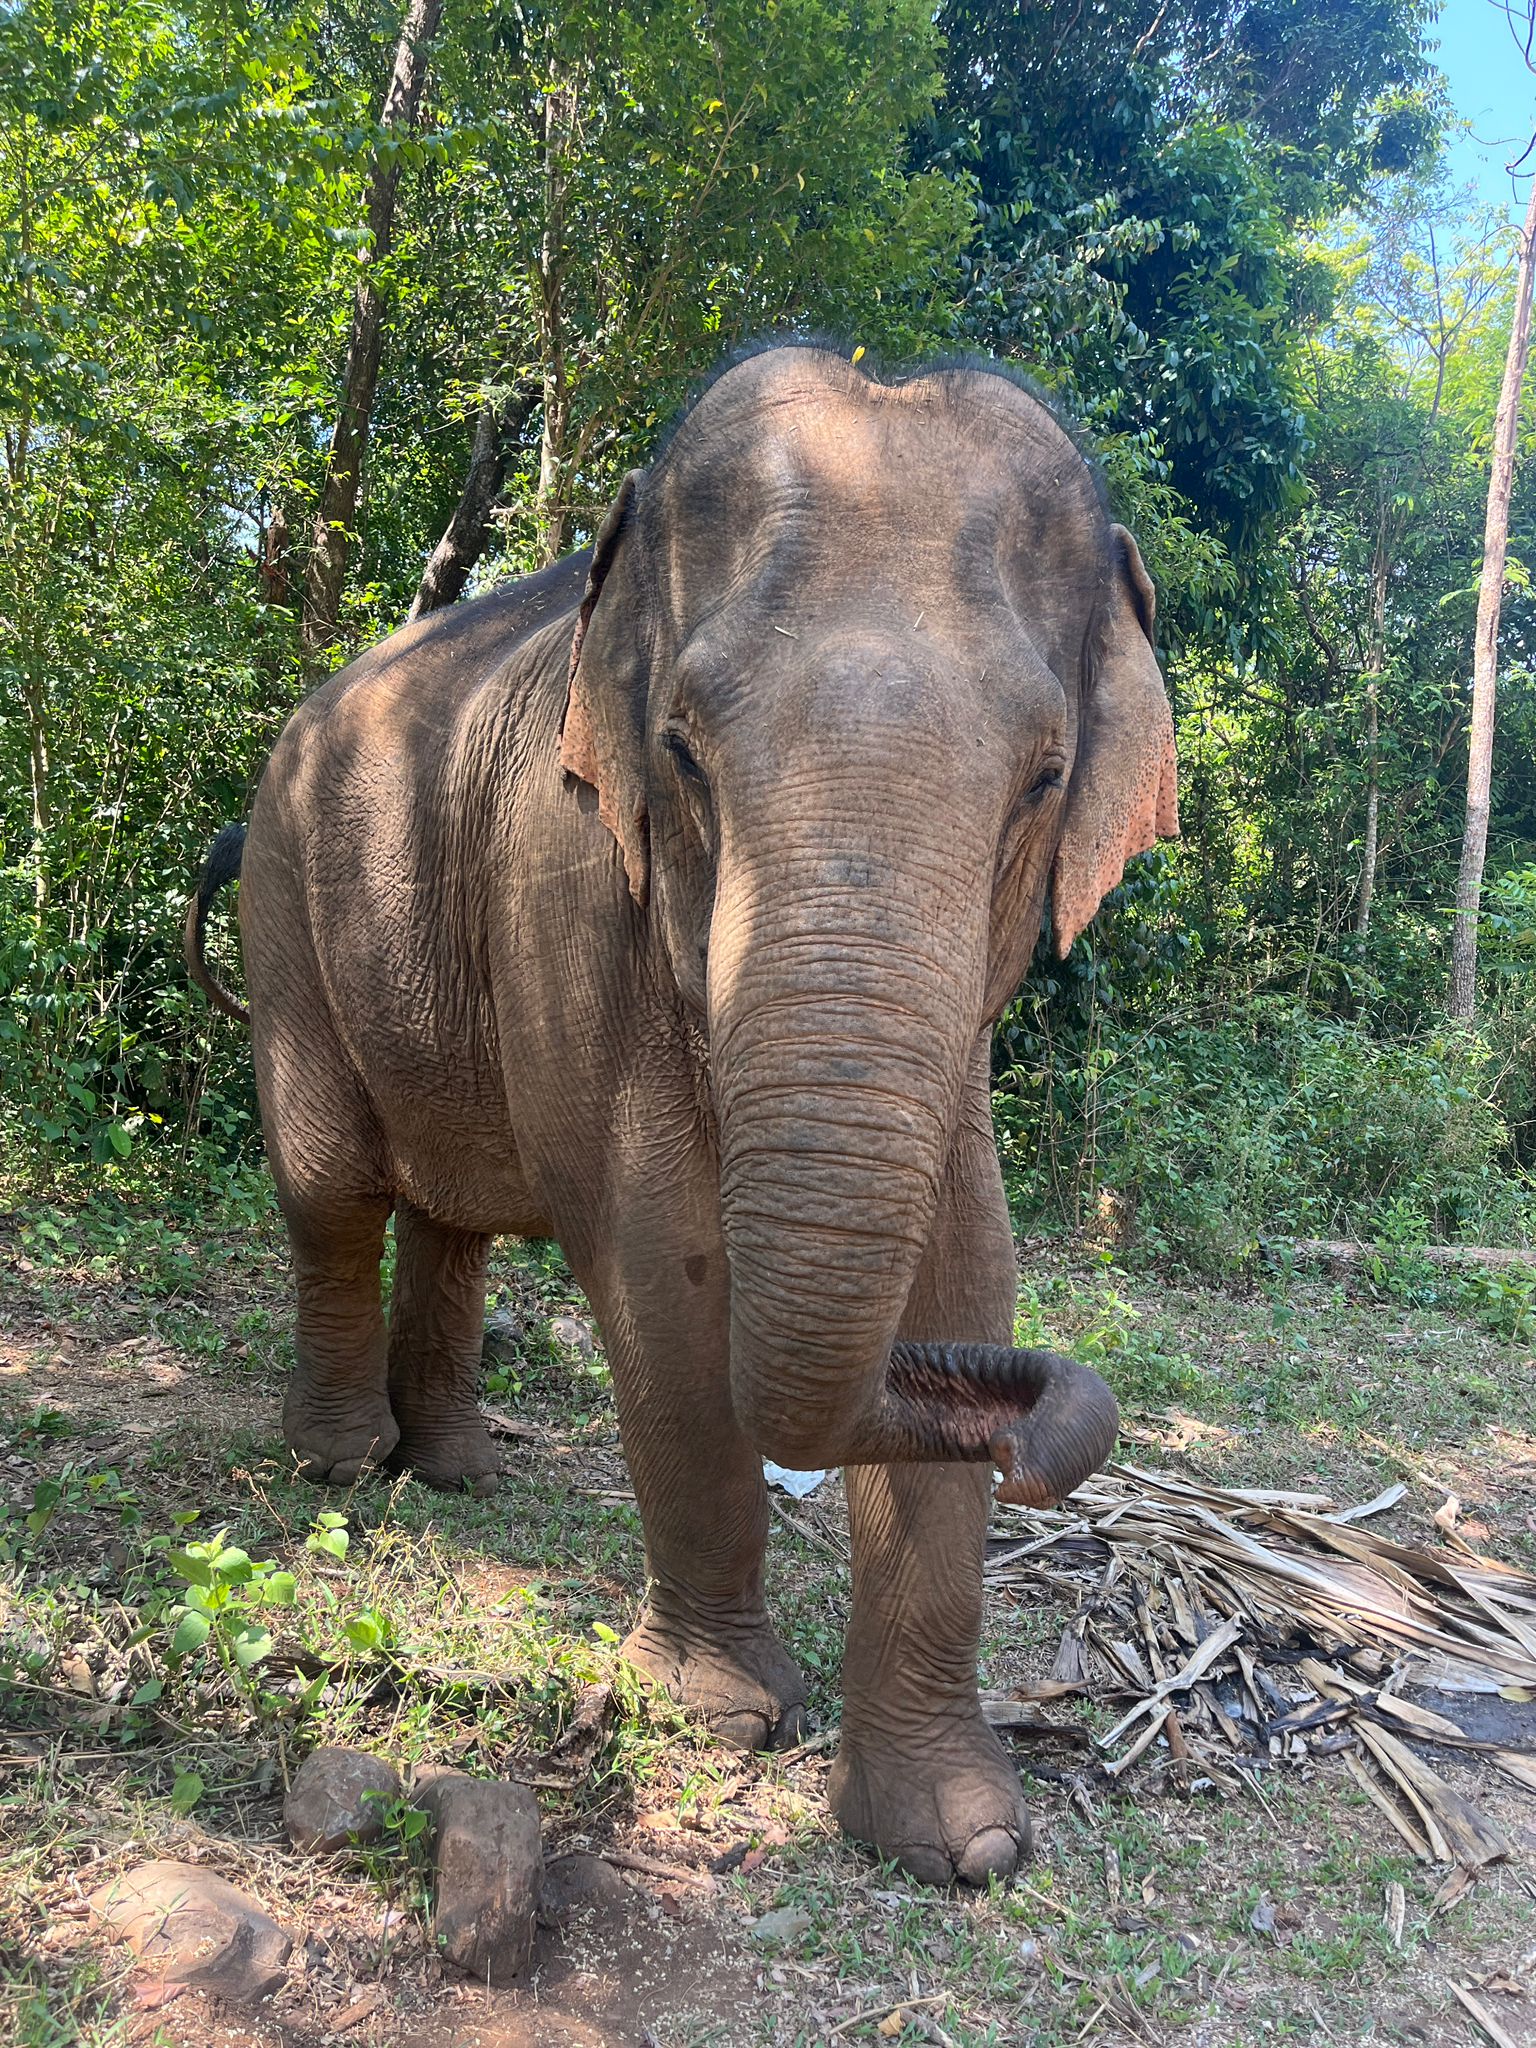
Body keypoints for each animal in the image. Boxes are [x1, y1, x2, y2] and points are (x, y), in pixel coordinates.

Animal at [186, 342, 1178, 1885]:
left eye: (1045, 779)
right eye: (685, 753)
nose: (1023, 1432)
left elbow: (970, 1257)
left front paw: (963, 1842)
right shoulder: (570, 872)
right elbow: (663, 1264)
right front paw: (725, 1717)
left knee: (454, 1215)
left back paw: (456, 1475)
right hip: (290, 908)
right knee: (333, 1187)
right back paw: (345, 1466)